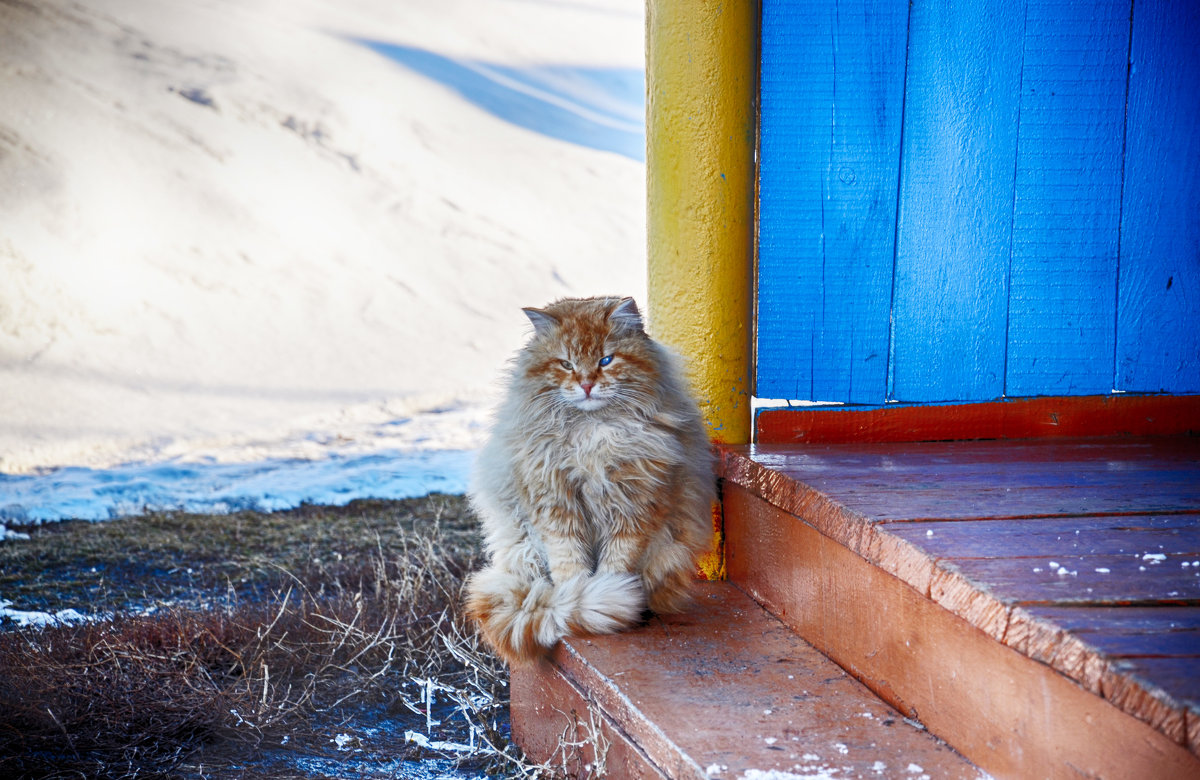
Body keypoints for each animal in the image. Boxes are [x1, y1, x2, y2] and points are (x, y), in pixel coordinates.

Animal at [465, 296, 710, 662]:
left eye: (606, 360)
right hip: (522, 547)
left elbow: (616, 562)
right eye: (566, 364)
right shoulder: (555, 503)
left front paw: (608, 594)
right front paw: (580, 595)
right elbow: (569, 561)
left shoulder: (634, 505)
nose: (586, 385)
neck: (592, 432)